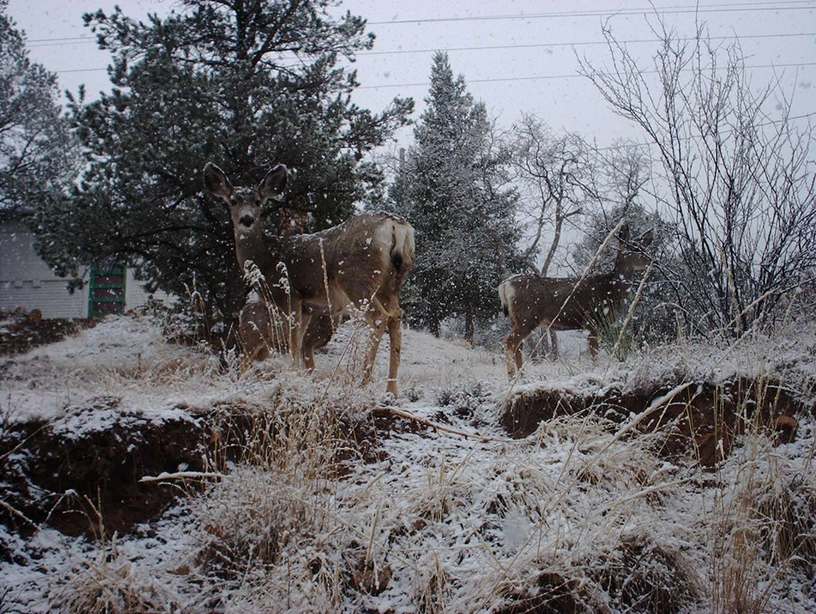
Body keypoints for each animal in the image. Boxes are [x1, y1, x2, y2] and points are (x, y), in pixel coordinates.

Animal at [203, 162, 415, 396]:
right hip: (392, 283)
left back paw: (363, 381)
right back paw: (391, 389)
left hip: (357, 279)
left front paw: (292, 376)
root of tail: (397, 226)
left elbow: (294, 340)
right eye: (233, 201)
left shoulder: (289, 295)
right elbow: (299, 341)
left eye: (258, 201)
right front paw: (300, 375)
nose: (247, 219)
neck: (266, 258)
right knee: (396, 316)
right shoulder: (307, 307)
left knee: (378, 317)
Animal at [499, 225, 653, 377]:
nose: (650, 261)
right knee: (510, 341)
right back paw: (512, 376)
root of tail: (505, 285)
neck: (611, 289)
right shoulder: (594, 320)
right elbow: (594, 354)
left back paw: (522, 375)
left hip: (516, 319)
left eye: (643, 248)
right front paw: (596, 371)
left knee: (518, 345)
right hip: (528, 317)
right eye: (633, 249)